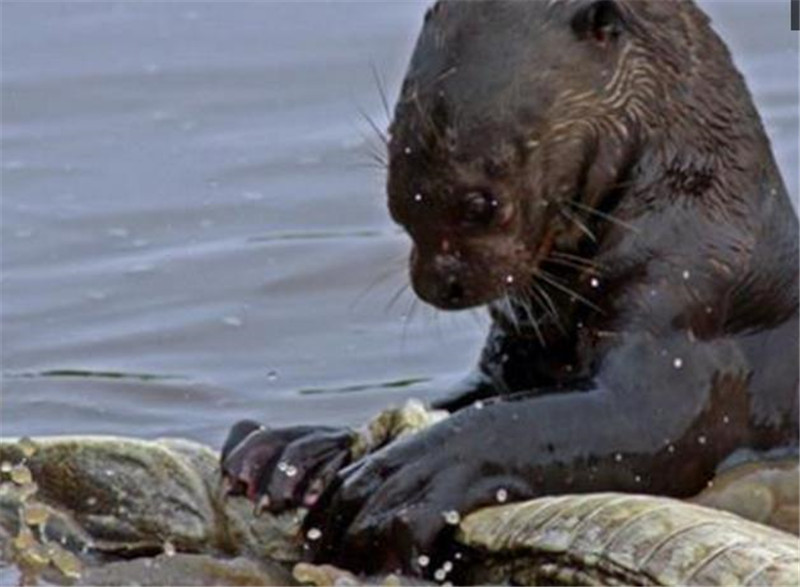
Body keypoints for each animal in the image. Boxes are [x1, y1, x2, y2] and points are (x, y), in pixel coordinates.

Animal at [220, 0, 800, 580]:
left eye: (483, 204)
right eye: (396, 198)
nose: (438, 284)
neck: (690, 212)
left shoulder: (688, 310)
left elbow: (627, 420)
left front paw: (398, 484)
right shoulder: (518, 348)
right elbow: (473, 396)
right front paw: (297, 448)